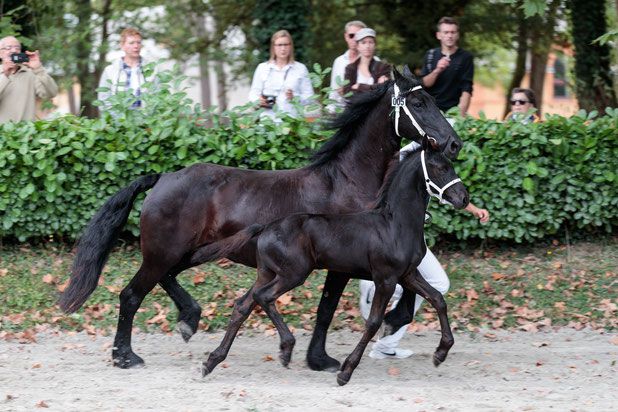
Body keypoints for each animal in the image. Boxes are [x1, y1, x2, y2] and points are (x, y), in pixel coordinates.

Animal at [191, 142, 466, 386]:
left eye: (451, 165)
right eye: (440, 167)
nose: (464, 198)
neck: (394, 224)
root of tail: (265, 227)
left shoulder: (408, 274)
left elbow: (438, 299)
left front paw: (441, 353)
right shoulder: (385, 279)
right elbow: (374, 322)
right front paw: (345, 372)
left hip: (268, 273)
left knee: (244, 304)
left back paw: (211, 362)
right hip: (293, 274)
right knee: (263, 297)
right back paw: (286, 349)